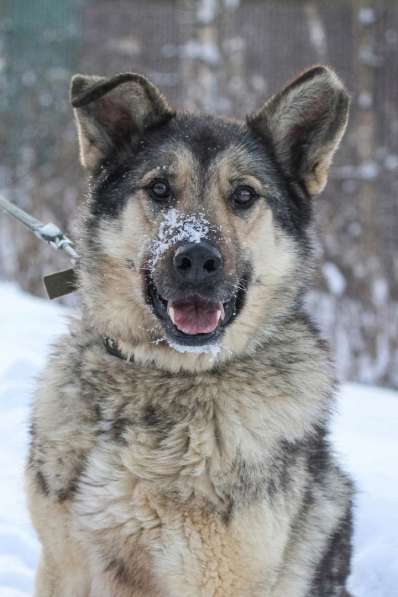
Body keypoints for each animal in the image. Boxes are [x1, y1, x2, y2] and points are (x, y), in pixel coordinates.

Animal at [26, 66, 352, 596]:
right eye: (159, 189)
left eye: (244, 196)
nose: (197, 259)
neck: (165, 378)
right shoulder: (63, 565)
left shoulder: (216, 580)